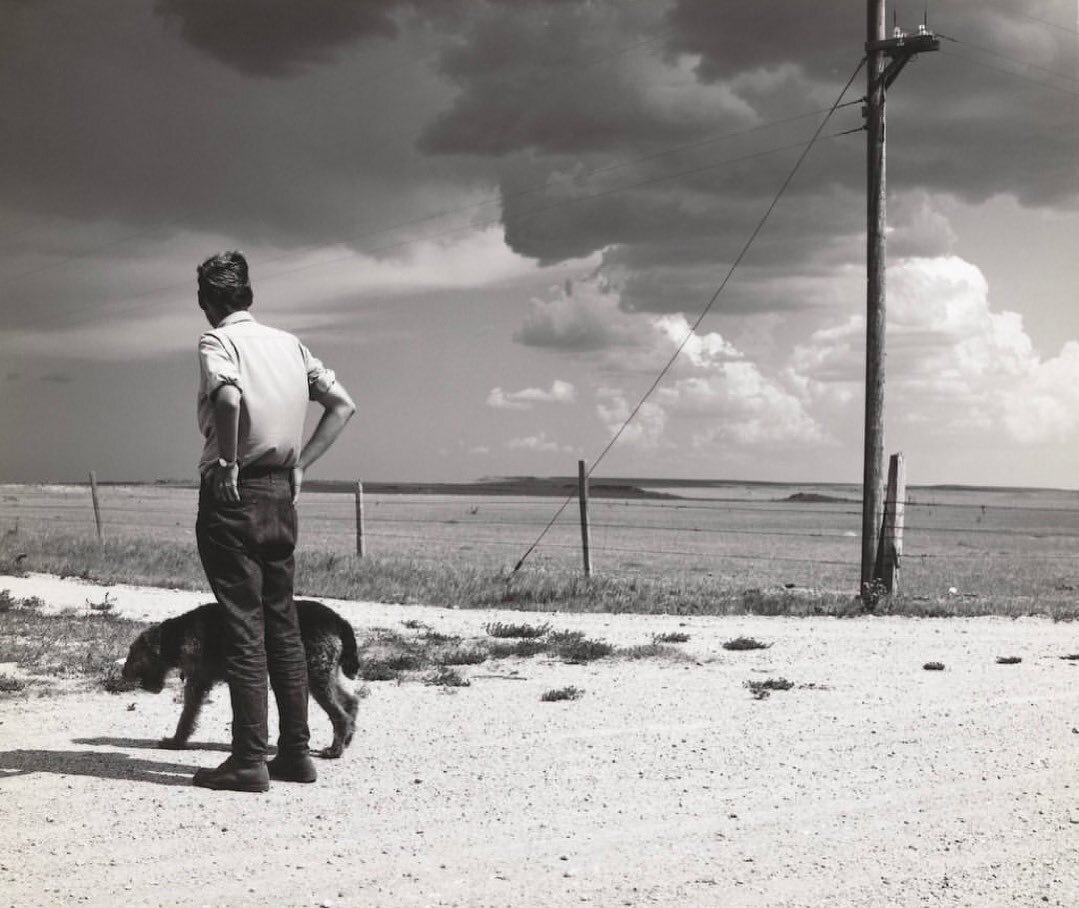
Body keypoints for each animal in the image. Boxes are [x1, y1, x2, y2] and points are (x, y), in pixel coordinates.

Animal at [120, 595, 360, 759]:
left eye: (133, 653)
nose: (123, 674)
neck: (176, 636)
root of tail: (337, 620)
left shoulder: (197, 681)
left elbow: (187, 715)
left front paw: (175, 741)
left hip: (316, 673)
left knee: (340, 714)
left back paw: (335, 750)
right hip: (324, 673)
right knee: (350, 702)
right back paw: (348, 739)